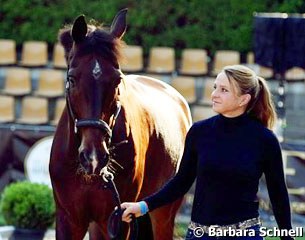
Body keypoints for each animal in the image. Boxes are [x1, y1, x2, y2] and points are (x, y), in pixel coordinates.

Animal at [50, 8, 191, 239]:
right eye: (71, 79)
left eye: (117, 80)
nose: (94, 157)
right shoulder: (68, 220)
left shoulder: (119, 219)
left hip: (162, 214)